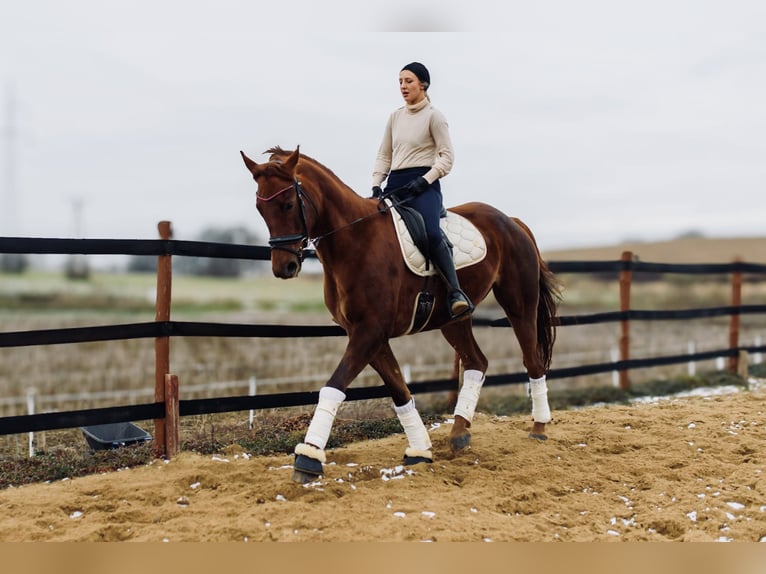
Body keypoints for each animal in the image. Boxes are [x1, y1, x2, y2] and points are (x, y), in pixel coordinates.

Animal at [240, 146, 561, 483]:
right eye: (261, 209)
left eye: (288, 204)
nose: (284, 267)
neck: (355, 240)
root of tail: (511, 221)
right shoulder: (369, 336)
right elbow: (399, 391)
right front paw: (420, 450)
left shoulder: (369, 332)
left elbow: (334, 386)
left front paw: (308, 458)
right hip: (453, 321)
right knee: (477, 362)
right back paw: (459, 433)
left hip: (519, 305)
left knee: (532, 361)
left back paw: (539, 427)